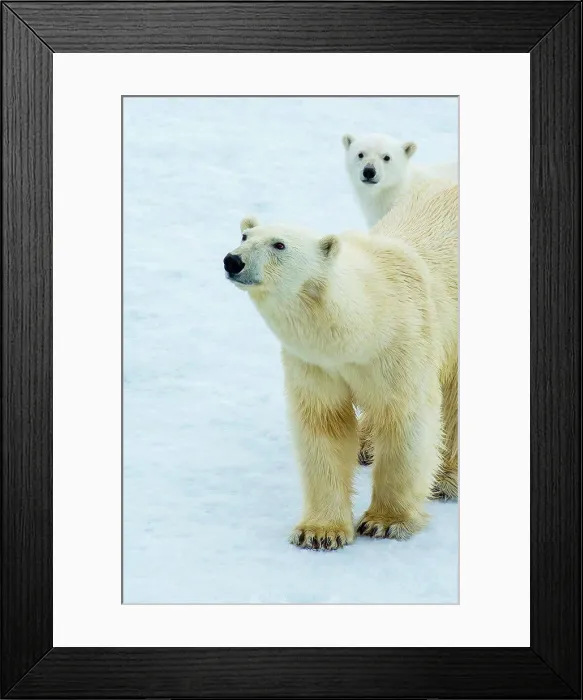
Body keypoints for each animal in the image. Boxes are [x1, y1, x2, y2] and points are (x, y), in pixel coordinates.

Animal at [223, 184, 458, 550]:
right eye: (244, 235)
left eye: (279, 244)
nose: (233, 260)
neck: (367, 323)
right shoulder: (317, 363)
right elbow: (324, 422)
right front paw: (319, 532)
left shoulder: (403, 344)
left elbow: (405, 418)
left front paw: (385, 522)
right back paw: (366, 445)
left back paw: (446, 478)